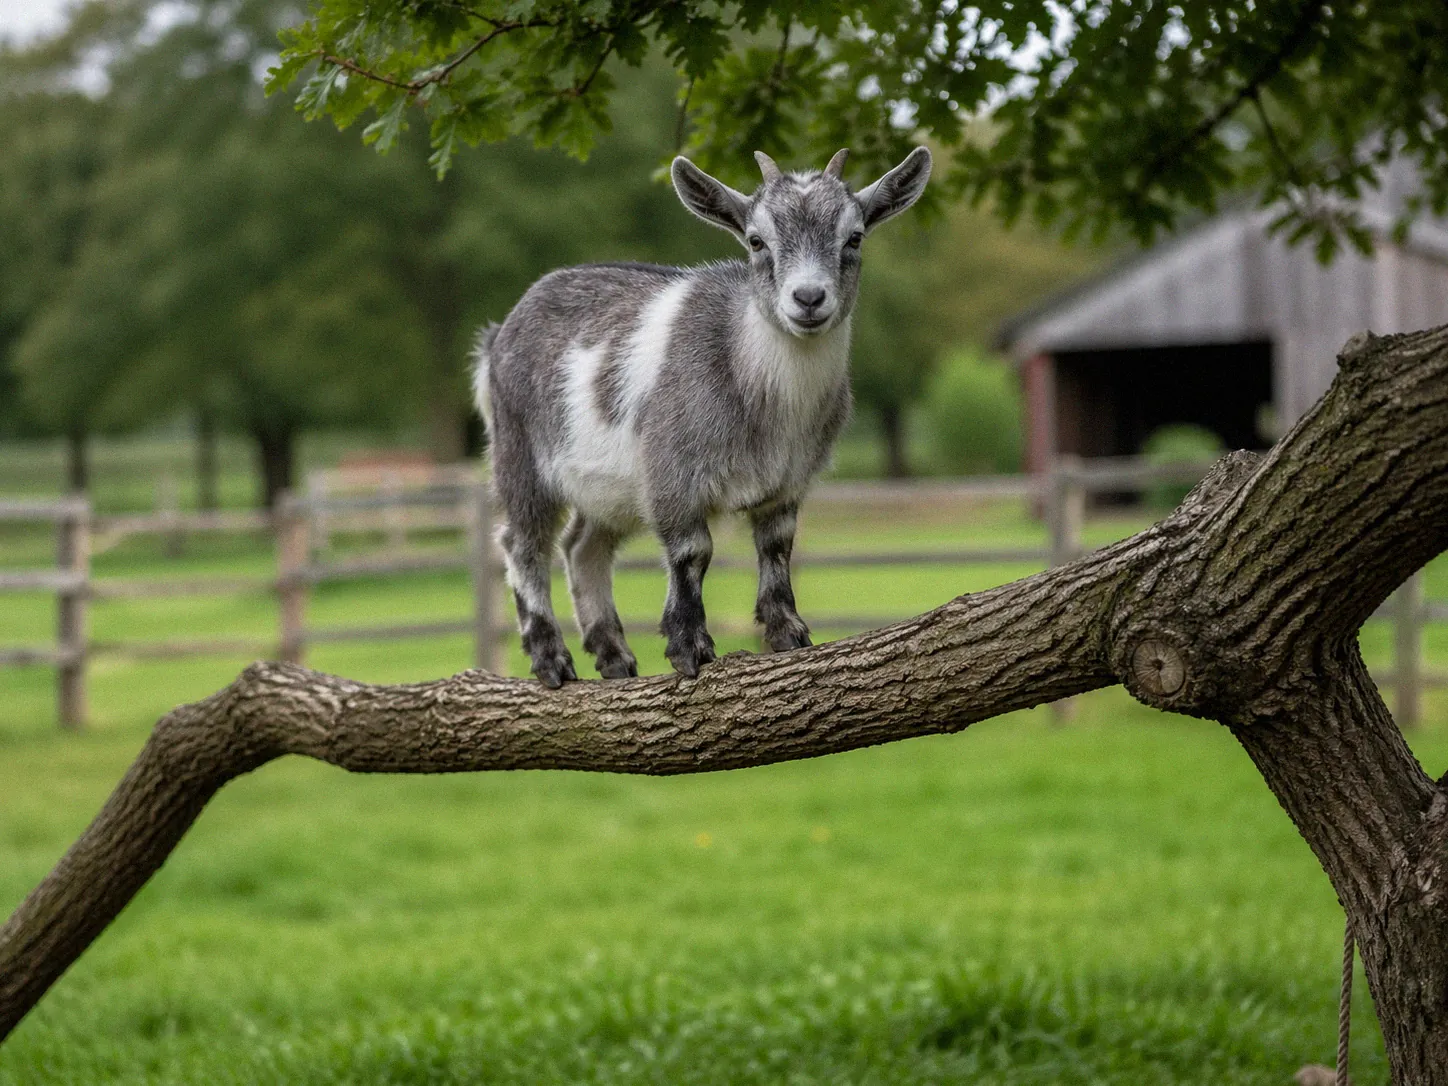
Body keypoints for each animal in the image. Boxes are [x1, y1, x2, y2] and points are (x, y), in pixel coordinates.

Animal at [474, 146, 932, 686]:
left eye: (854, 237)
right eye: (756, 241)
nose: (808, 299)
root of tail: (499, 333)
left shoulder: (786, 484)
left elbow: (776, 548)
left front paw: (788, 634)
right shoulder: (672, 474)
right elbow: (693, 552)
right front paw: (689, 648)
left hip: (607, 485)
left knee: (582, 546)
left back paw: (614, 656)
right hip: (519, 453)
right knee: (523, 544)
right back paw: (552, 659)